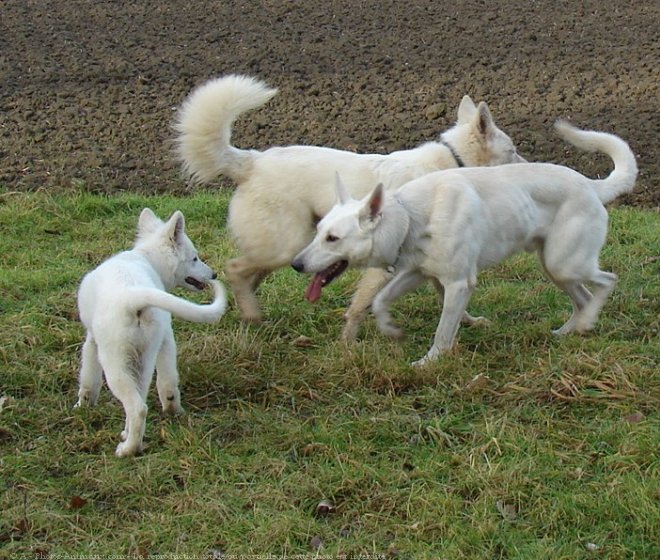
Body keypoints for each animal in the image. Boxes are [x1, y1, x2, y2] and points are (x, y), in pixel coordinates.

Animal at [75, 208, 227, 458]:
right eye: (195, 258)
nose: (214, 274)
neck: (146, 259)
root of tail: (133, 296)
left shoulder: (91, 342)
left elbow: (88, 379)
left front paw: (82, 406)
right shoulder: (165, 340)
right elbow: (168, 383)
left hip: (115, 363)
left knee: (137, 407)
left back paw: (128, 449)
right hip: (143, 358)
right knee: (142, 396)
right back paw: (129, 435)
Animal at [175, 74, 524, 328]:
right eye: (512, 150)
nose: (529, 163)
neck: (454, 162)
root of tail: (250, 161)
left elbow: (446, 295)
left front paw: (468, 321)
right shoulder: (384, 266)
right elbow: (361, 303)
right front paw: (351, 341)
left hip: (286, 247)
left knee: (249, 274)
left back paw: (252, 312)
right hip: (287, 245)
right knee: (235, 269)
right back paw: (252, 315)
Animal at [292, 122, 636, 366]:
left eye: (333, 238)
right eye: (318, 230)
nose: (296, 264)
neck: (412, 216)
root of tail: (590, 184)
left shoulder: (458, 284)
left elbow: (444, 332)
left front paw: (427, 363)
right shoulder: (416, 273)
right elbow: (378, 300)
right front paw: (389, 329)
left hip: (565, 263)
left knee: (608, 280)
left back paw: (587, 322)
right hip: (557, 268)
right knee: (583, 297)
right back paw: (568, 331)